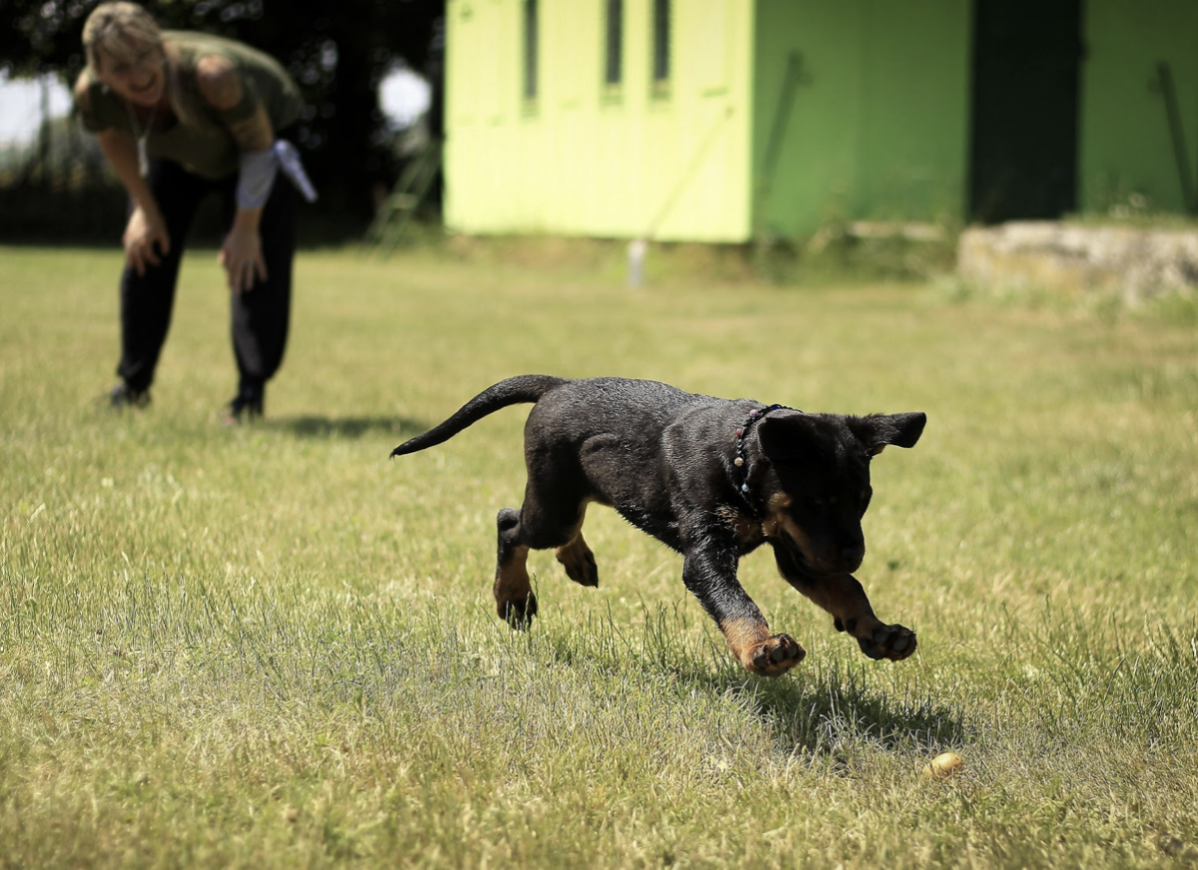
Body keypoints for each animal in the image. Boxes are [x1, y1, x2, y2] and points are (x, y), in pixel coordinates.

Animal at [392, 378, 924, 675]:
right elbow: (737, 603)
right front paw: (761, 650)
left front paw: (879, 633)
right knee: (510, 524)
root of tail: (558, 385)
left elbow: (847, 590)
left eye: (863, 502)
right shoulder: (709, 554)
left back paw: (577, 560)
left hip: (576, 494)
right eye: (816, 501)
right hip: (553, 505)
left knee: (559, 525)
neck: (737, 459)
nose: (855, 554)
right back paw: (514, 598)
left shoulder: (801, 551)